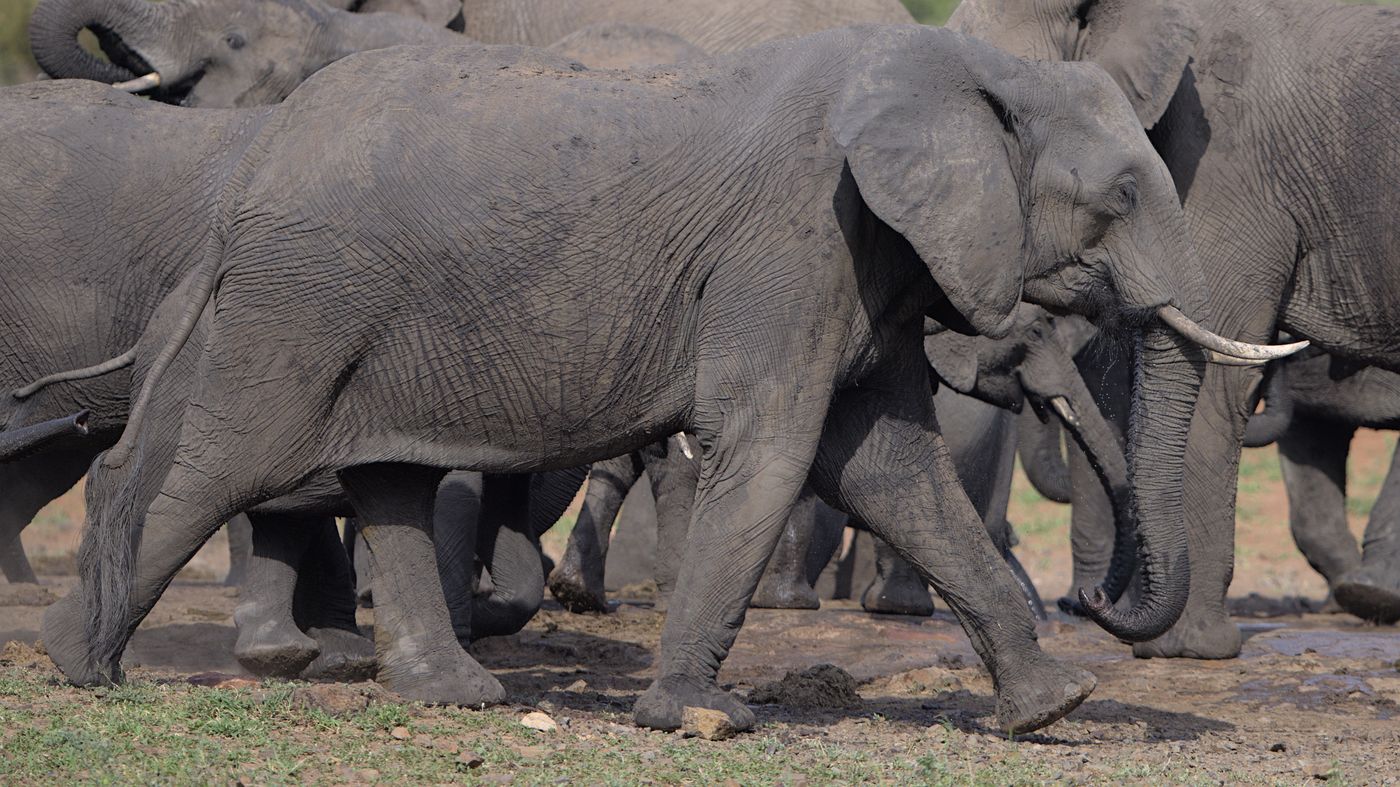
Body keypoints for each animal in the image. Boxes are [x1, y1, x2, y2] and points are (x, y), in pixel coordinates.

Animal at [45, 29, 1304, 735]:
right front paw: (701, 717)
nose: (1095, 606)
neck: (971, 68)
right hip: (302, 298)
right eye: (1119, 198)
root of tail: (245, 172)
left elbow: (888, 466)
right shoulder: (795, 238)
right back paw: (80, 666)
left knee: (389, 474)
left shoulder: (861, 258)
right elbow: (773, 448)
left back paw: (455, 699)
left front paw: (1056, 710)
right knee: (226, 461)